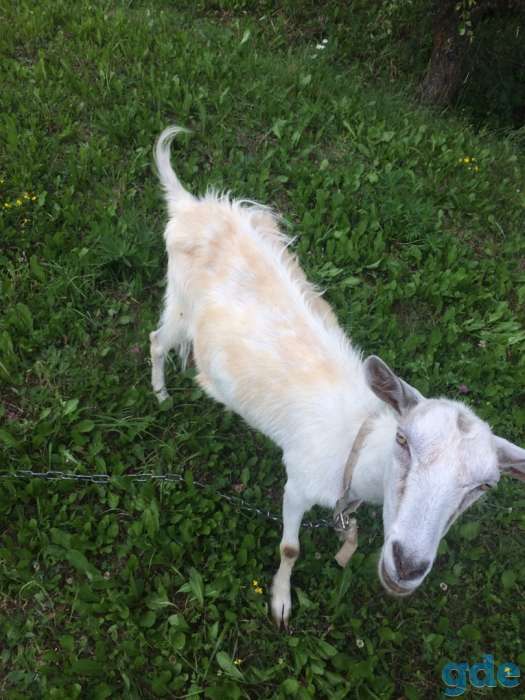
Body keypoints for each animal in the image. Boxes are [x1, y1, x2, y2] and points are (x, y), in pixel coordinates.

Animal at [150, 125, 525, 627]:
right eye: (404, 440)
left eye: (484, 486)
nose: (407, 565)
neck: (355, 442)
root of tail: (188, 203)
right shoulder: (298, 481)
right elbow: (290, 548)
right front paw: (281, 602)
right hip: (180, 301)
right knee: (156, 339)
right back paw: (160, 396)